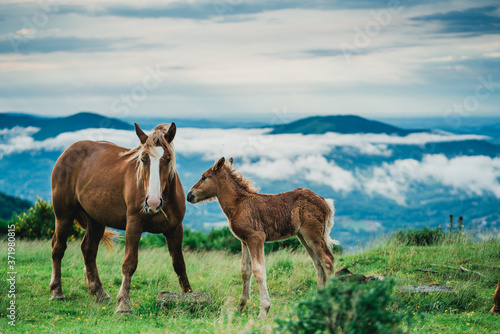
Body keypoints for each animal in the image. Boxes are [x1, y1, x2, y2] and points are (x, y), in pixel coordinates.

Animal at [50, 122, 191, 314]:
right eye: (143, 159)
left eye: (168, 159)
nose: (153, 203)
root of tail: (67, 151)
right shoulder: (133, 226)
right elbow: (129, 264)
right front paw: (124, 303)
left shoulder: (175, 229)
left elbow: (179, 264)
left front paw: (189, 296)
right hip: (64, 215)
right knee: (58, 248)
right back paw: (57, 291)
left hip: (96, 220)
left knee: (88, 250)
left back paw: (100, 293)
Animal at [187, 157, 336, 318]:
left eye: (204, 177)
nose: (189, 195)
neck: (238, 204)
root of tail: (325, 201)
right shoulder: (244, 241)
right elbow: (245, 271)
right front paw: (240, 307)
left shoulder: (256, 238)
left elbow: (258, 271)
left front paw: (264, 310)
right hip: (303, 237)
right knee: (318, 265)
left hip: (313, 234)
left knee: (328, 260)